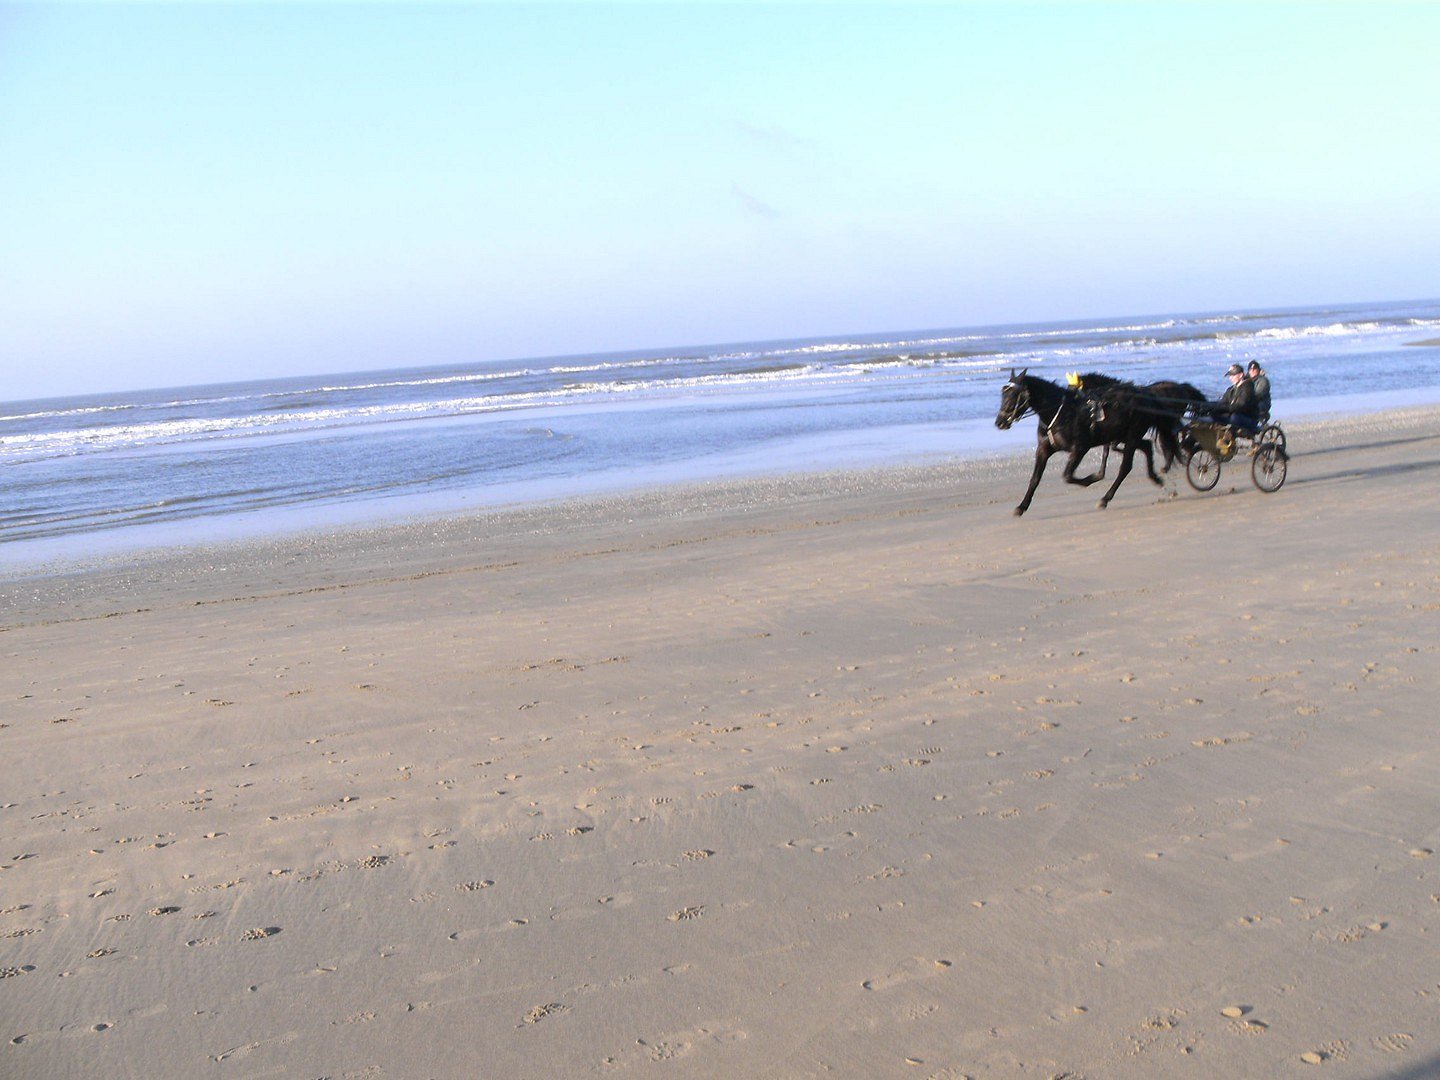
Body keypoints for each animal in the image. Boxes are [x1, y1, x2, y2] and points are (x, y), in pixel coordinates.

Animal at [1002, 371, 1192, 515]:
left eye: (1012, 395)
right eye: (1003, 394)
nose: (1000, 422)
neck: (1061, 412)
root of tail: (1146, 395)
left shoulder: (1080, 447)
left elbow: (1068, 475)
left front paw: (1091, 478)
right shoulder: (1044, 449)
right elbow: (1035, 479)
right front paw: (1021, 506)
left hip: (1131, 436)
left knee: (1126, 467)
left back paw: (1105, 498)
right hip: (1125, 435)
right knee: (1146, 446)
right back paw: (1156, 478)